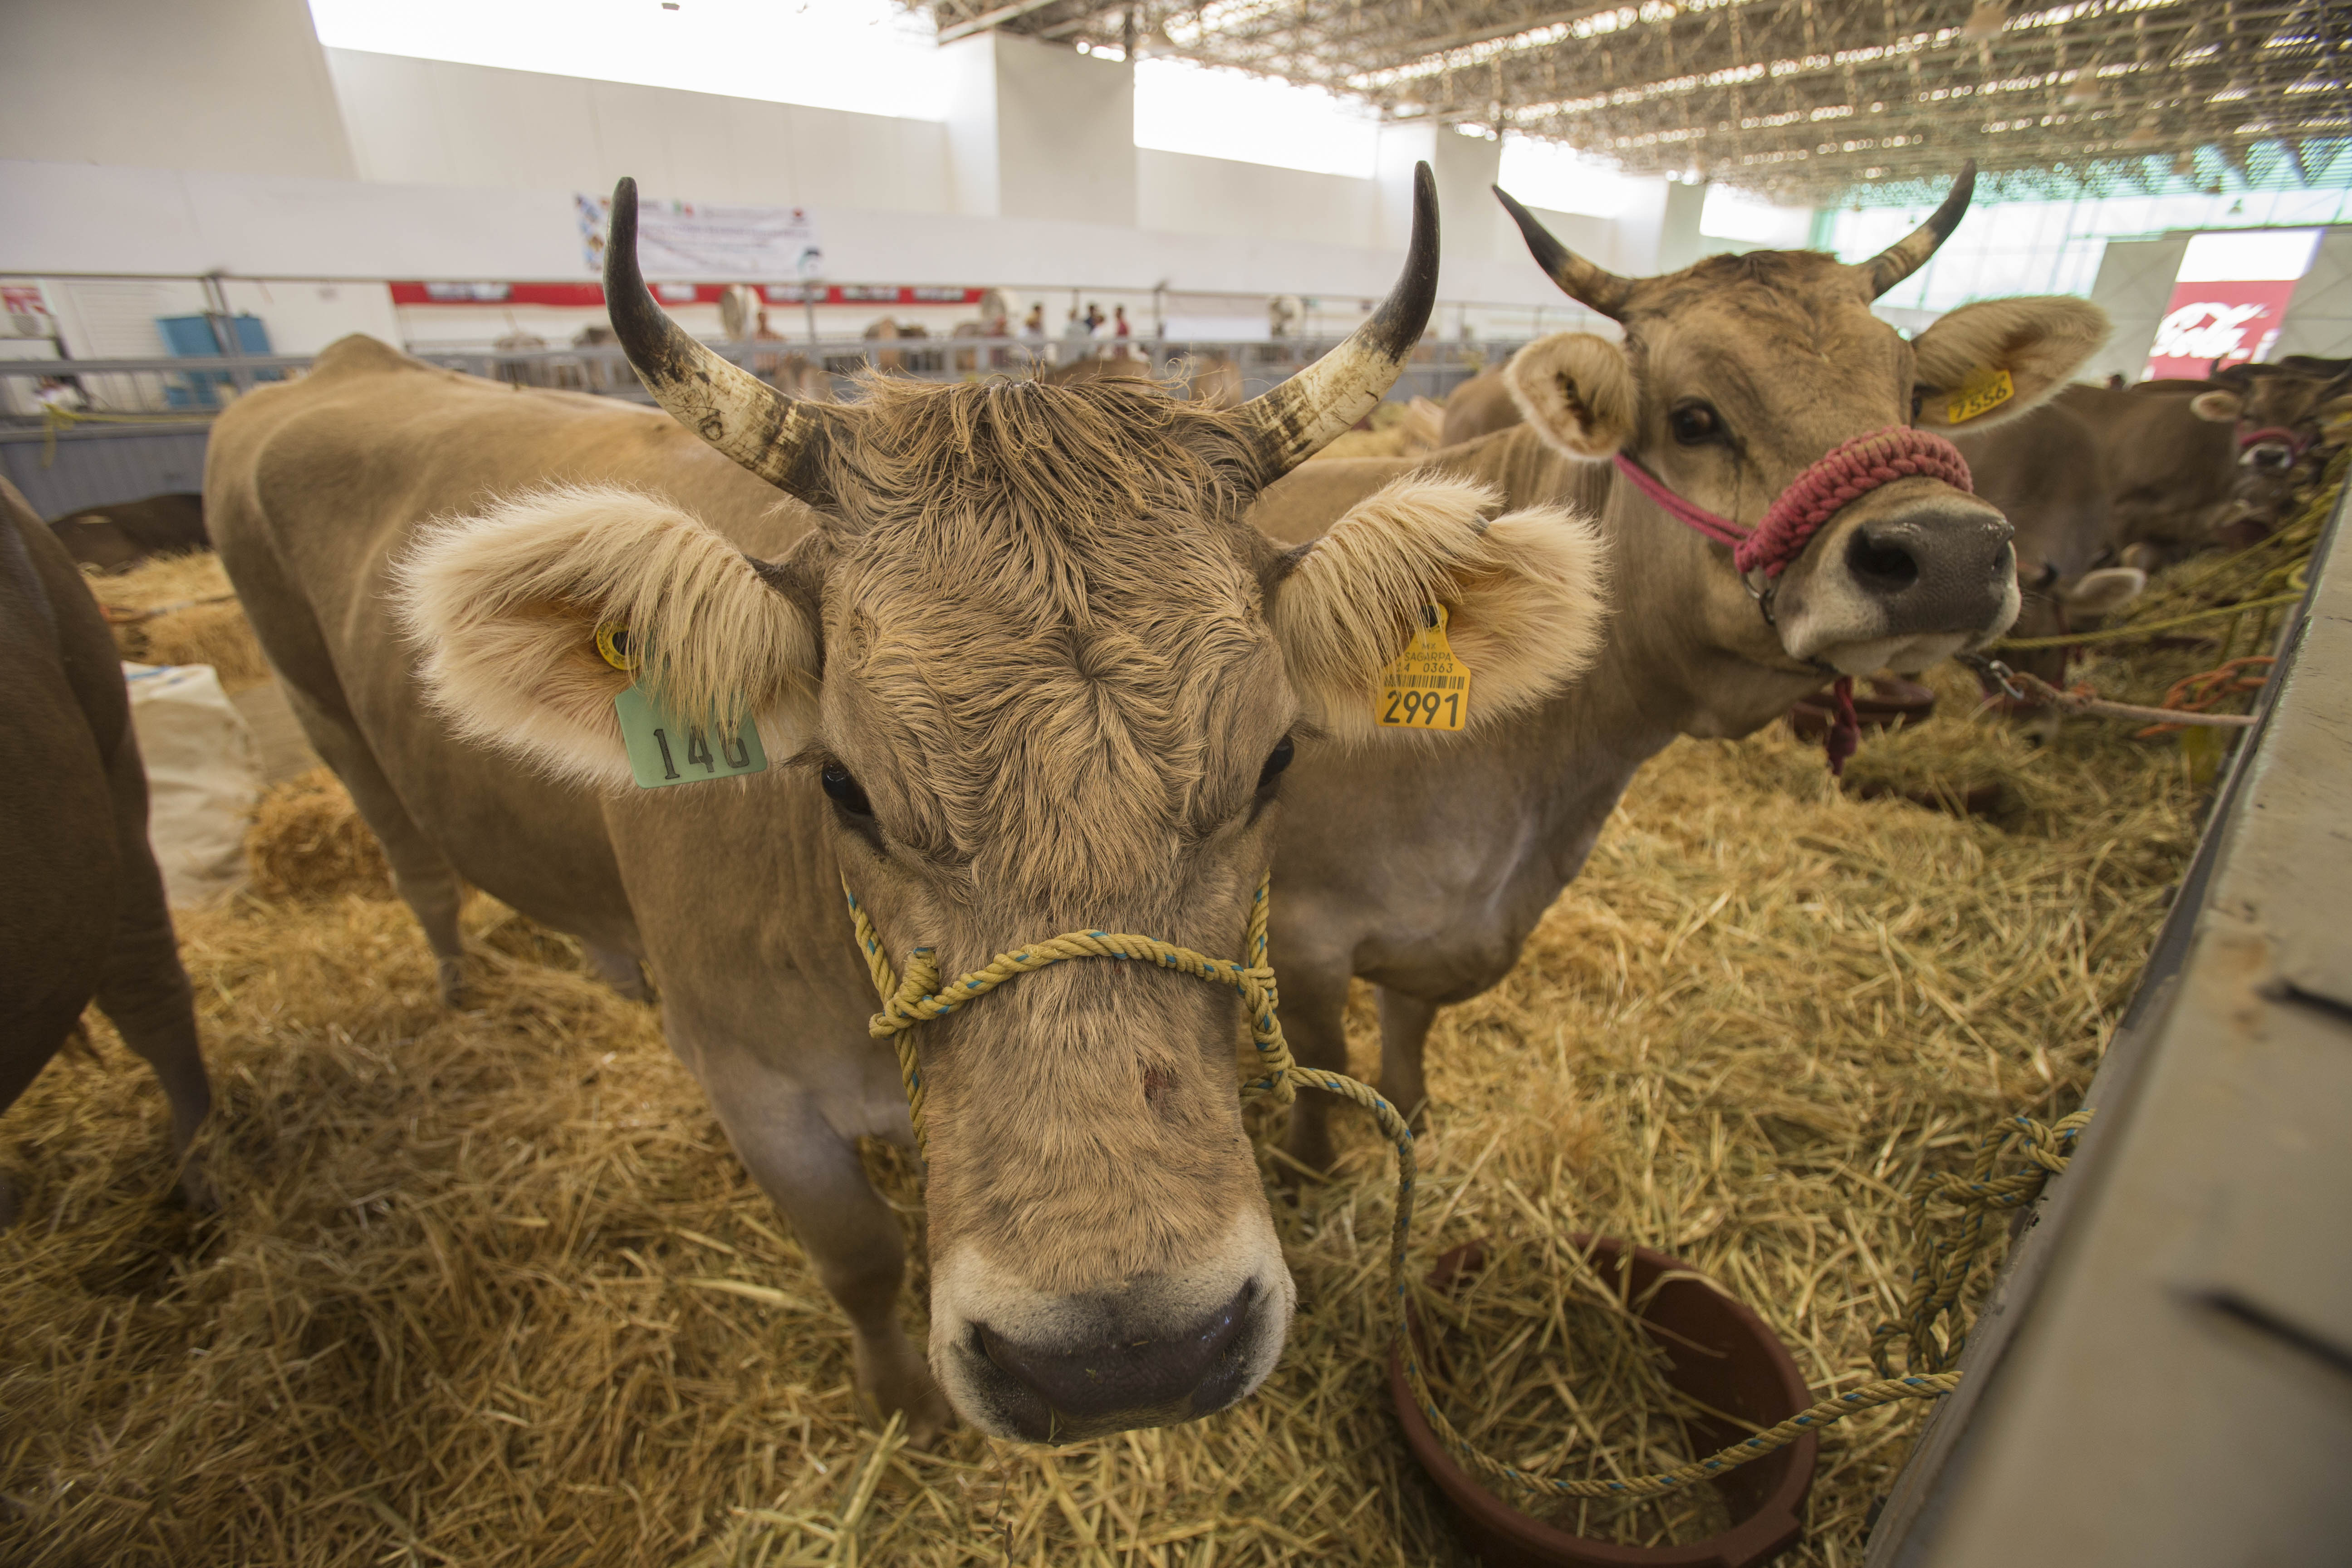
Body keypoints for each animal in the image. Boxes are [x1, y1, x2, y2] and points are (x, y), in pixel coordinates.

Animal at [202, 175, 1608, 1448]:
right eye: (841, 782)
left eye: (1273, 762)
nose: (1124, 1357)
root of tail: (338, 361)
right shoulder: (752, 1086)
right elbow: (861, 1254)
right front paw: (900, 1404)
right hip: (323, 711)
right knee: (412, 860)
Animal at [1242, 169, 2107, 1175]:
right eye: (1694, 419)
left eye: (1912, 393)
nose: (1950, 552)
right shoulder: (1301, 937)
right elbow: (1319, 1073)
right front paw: (1308, 1167)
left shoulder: (1437, 937)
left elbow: (1404, 1048)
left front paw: (1413, 1123)